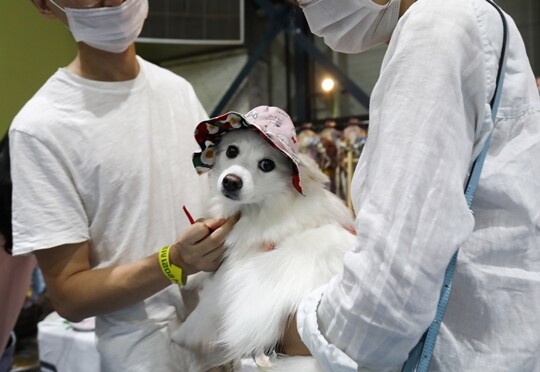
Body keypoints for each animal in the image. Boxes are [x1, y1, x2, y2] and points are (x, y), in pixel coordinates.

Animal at [173, 106, 356, 370]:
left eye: (267, 164)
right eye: (231, 151)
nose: (231, 181)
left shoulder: (226, 283)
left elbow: (200, 316)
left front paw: (177, 335)